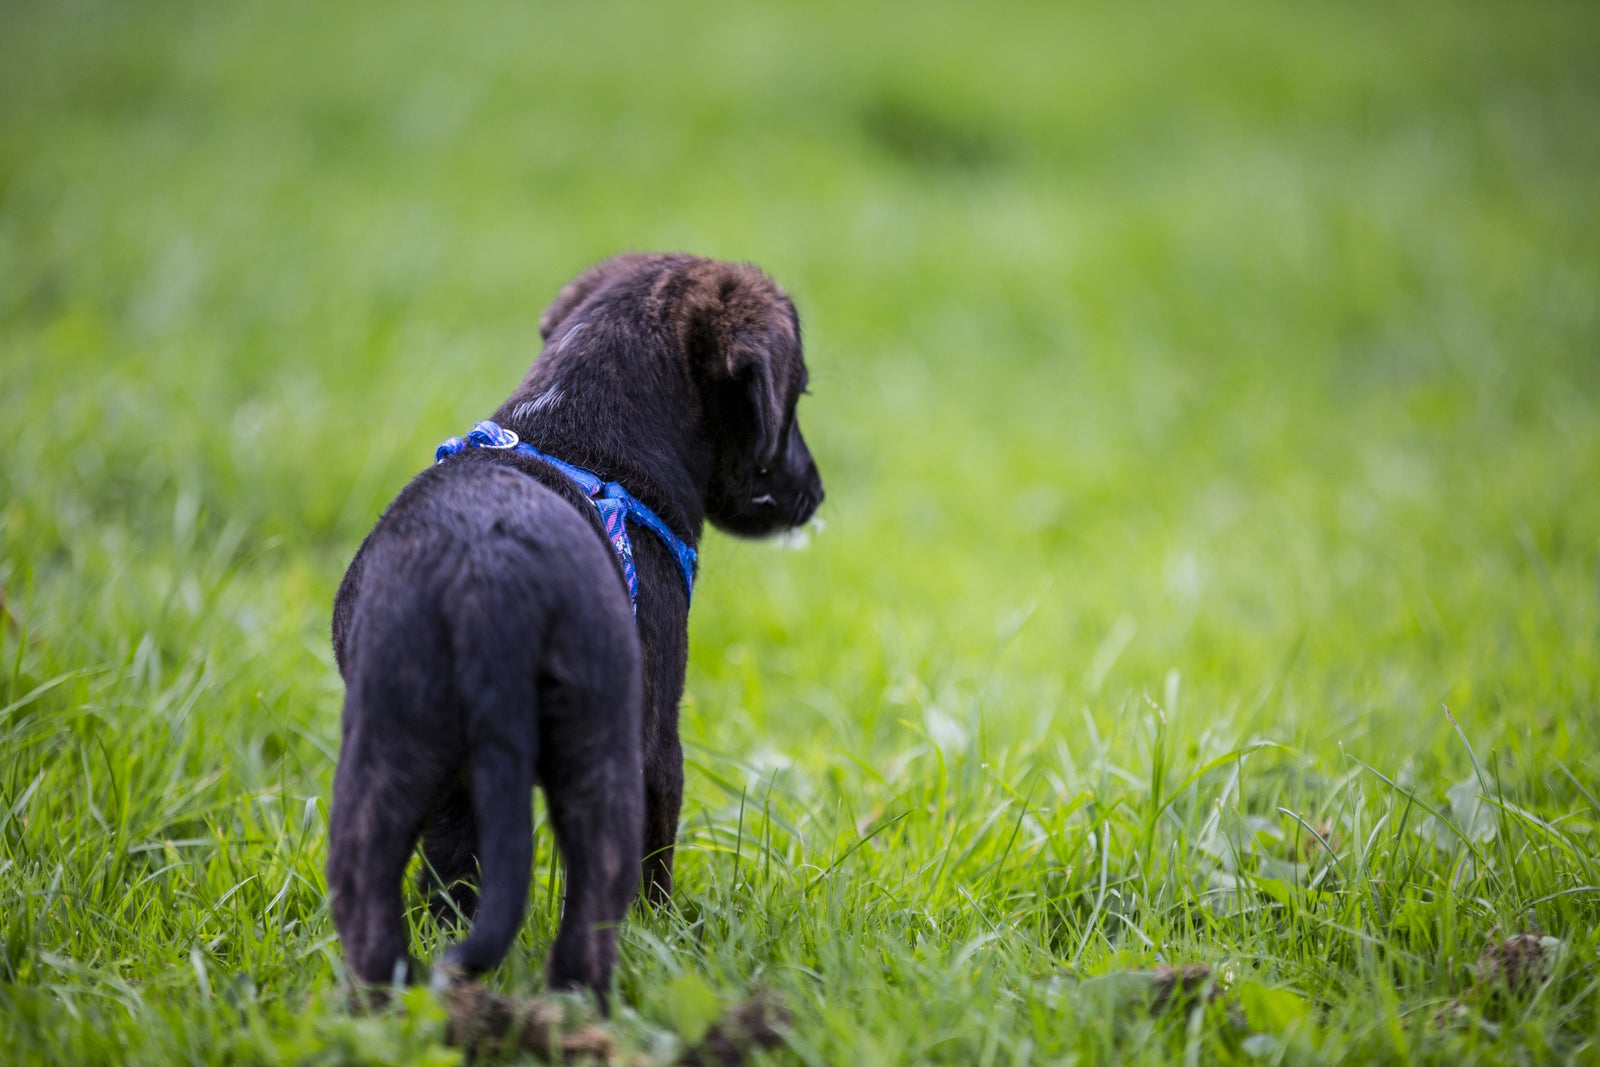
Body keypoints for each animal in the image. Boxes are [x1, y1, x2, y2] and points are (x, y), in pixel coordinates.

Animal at [324, 252, 825, 1004]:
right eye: (795, 400)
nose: (816, 493)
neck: (576, 430)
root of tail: (484, 579)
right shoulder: (658, 740)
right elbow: (655, 863)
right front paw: (666, 935)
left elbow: (452, 874)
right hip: (606, 760)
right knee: (595, 911)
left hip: (383, 753)